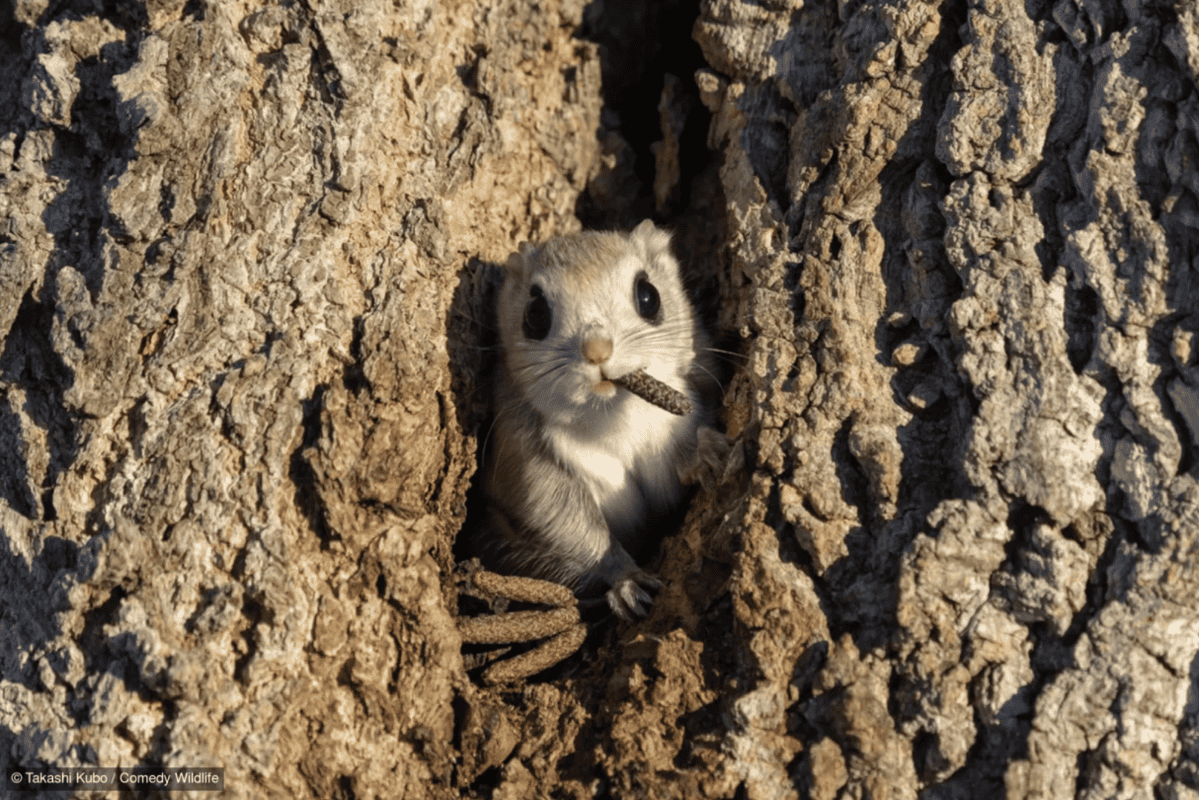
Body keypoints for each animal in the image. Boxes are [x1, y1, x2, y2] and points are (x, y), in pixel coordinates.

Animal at [479, 220, 728, 620]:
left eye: (648, 296)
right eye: (535, 314)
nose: (597, 350)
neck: (611, 415)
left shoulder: (693, 393)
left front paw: (704, 453)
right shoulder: (528, 462)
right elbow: (570, 524)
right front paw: (626, 580)